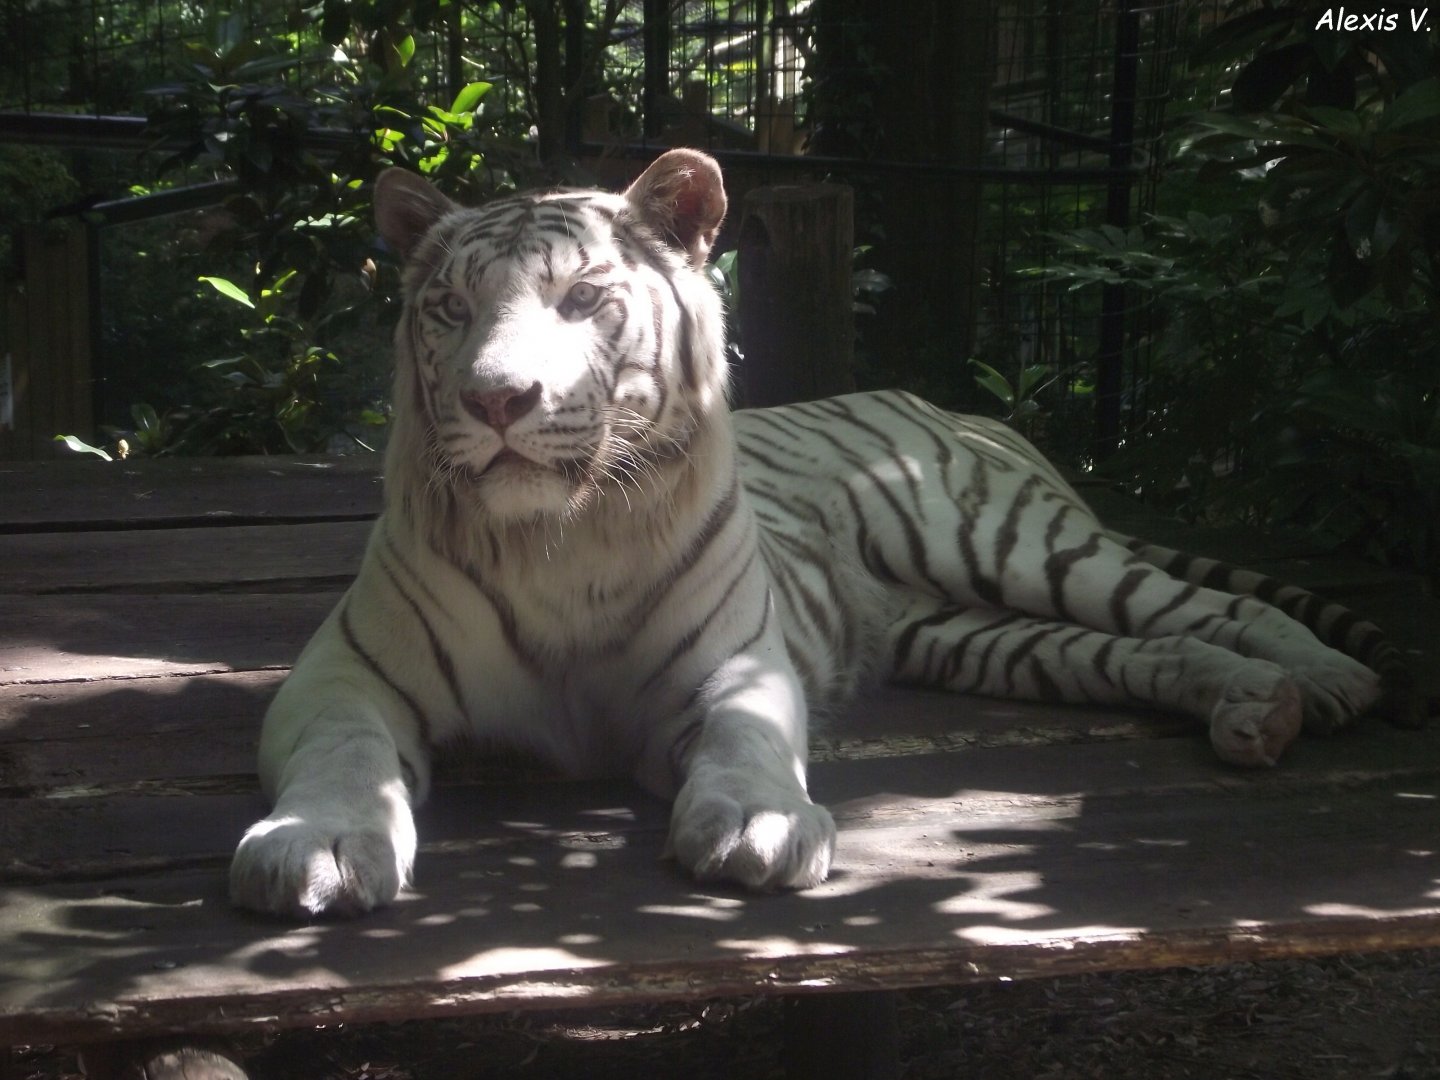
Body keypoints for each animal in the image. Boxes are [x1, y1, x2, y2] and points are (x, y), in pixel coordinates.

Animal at [229, 148, 1410, 919]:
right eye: (448, 309)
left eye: (583, 298)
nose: (497, 399)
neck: (560, 540)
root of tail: (953, 405)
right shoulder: (345, 672)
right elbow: (345, 751)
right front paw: (319, 844)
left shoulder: (738, 668)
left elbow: (748, 742)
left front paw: (758, 827)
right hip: (966, 631)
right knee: (1148, 648)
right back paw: (1252, 705)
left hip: (999, 542)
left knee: (1210, 603)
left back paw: (1321, 679)